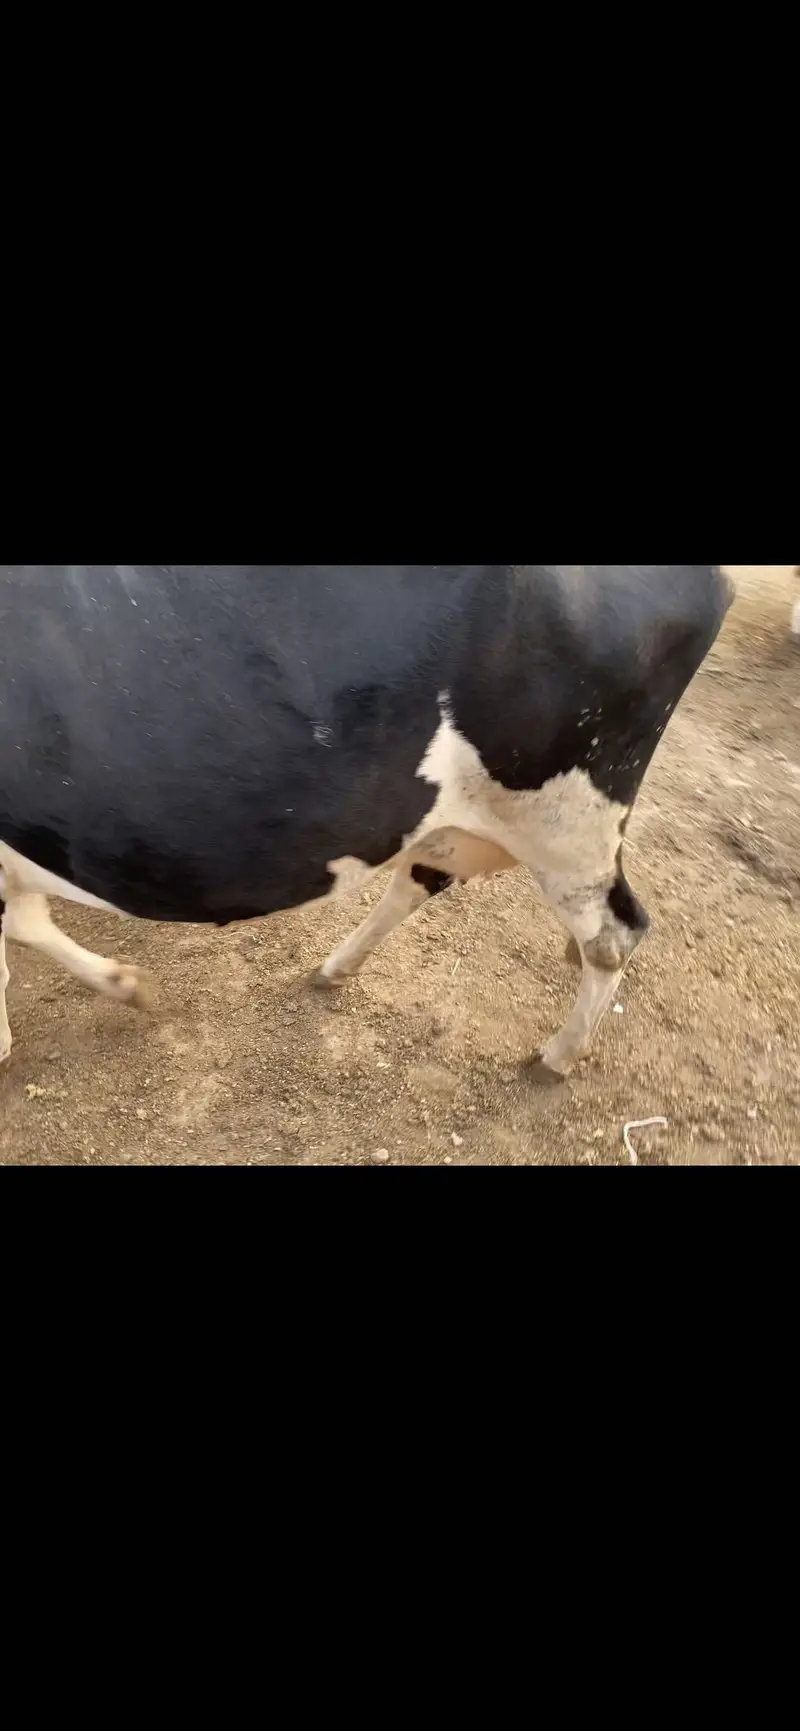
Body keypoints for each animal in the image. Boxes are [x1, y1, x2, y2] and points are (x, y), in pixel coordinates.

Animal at [0, 566, 733, 1079]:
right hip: (462, 809)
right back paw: (336, 965)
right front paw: (113, 988)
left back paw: (556, 1055)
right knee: (424, 878)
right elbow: (27, 925)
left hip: (571, 812)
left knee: (613, 933)